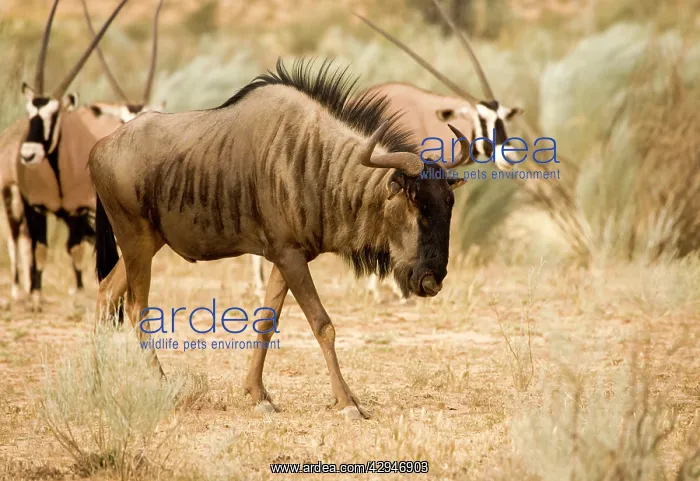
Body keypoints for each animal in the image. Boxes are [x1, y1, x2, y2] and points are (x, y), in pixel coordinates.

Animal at [17, 0, 129, 310]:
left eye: (54, 114)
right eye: (29, 112)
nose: (28, 154)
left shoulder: (78, 211)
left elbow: (76, 250)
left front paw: (78, 296)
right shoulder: (35, 207)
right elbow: (40, 250)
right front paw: (36, 297)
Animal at [90, 58, 472, 419]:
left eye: (448, 204)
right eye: (414, 202)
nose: (431, 280)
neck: (317, 163)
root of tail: (100, 148)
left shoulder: (287, 256)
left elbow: (266, 321)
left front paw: (259, 395)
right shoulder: (289, 256)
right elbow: (323, 324)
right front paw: (347, 402)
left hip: (148, 242)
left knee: (107, 293)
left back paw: (95, 383)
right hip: (136, 240)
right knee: (137, 309)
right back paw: (161, 386)